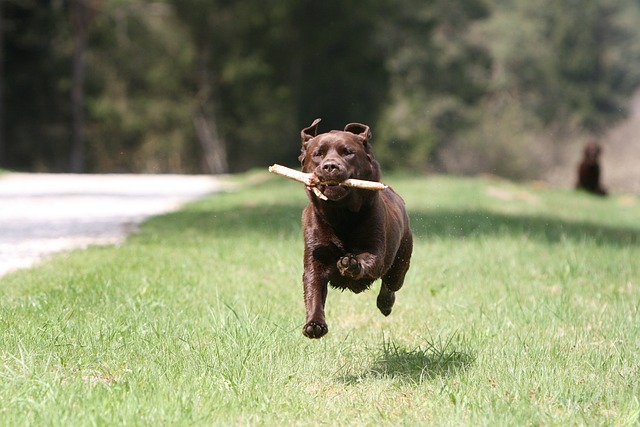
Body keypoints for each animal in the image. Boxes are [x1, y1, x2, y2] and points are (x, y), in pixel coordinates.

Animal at [298, 118, 412, 340]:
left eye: (347, 152)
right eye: (318, 154)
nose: (330, 166)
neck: (340, 216)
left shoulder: (376, 249)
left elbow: (368, 259)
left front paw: (349, 263)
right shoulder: (315, 258)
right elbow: (313, 288)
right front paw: (314, 325)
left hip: (401, 261)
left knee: (391, 284)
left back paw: (385, 304)